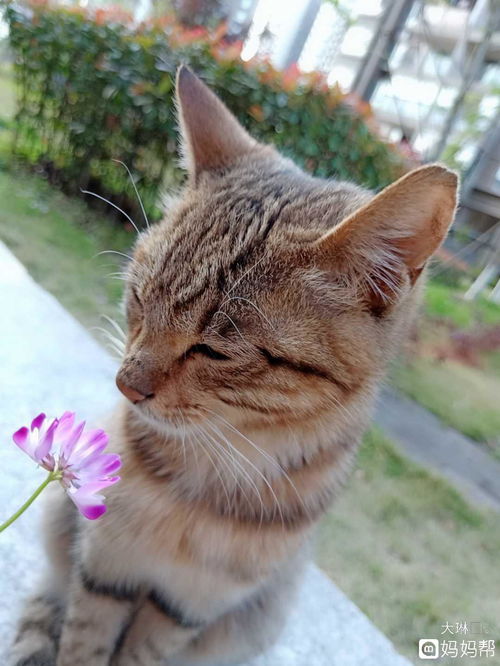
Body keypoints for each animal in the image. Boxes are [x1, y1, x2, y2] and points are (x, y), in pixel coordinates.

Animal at [9, 63, 458, 664]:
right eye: (139, 299)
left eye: (215, 350)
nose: (125, 384)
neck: (201, 479)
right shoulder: (106, 569)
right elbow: (83, 645)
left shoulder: (186, 608)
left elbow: (141, 654)